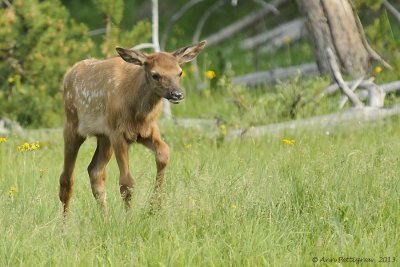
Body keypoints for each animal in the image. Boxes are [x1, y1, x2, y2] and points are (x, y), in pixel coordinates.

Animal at [59, 40, 206, 215]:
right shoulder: (118, 133)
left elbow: (164, 153)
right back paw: (65, 222)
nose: (177, 94)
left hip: (104, 138)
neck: (139, 114)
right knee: (67, 178)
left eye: (180, 72)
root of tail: (68, 74)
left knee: (95, 171)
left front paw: (154, 207)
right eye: (155, 75)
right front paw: (129, 217)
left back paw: (105, 218)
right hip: (72, 126)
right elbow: (126, 182)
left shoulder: (147, 131)